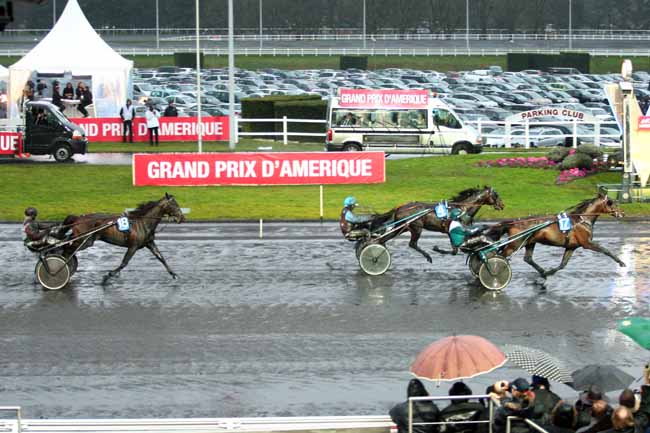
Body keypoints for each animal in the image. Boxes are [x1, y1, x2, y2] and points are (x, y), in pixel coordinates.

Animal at [492, 191, 625, 278]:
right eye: (611, 203)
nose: (622, 213)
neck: (582, 220)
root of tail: (513, 222)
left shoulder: (571, 246)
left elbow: (562, 265)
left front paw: (548, 273)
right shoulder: (586, 243)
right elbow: (605, 250)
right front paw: (621, 262)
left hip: (530, 242)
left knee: (527, 258)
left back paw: (542, 272)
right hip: (515, 244)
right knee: (500, 256)